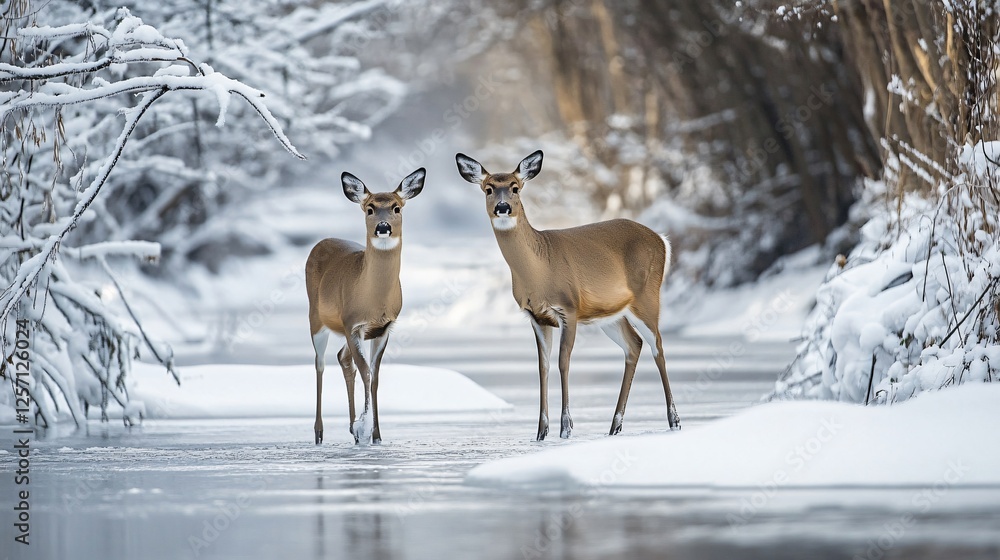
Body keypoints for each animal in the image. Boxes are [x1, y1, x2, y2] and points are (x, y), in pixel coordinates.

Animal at [305, 167, 425, 445]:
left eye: (396, 207)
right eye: (370, 209)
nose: (383, 227)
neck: (372, 299)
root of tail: (321, 242)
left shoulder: (383, 328)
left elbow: (375, 377)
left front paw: (376, 435)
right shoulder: (352, 324)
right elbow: (367, 373)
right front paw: (364, 428)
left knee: (342, 358)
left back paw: (351, 428)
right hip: (316, 318)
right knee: (320, 363)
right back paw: (319, 433)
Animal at [455, 150, 680, 440]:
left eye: (516, 188)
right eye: (488, 189)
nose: (503, 207)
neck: (539, 269)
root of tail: (662, 240)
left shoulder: (569, 308)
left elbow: (564, 362)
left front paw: (566, 427)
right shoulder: (536, 316)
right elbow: (543, 366)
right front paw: (541, 432)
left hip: (647, 296)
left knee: (658, 346)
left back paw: (673, 420)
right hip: (611, 314)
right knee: (634, 345)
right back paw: (614, 426)